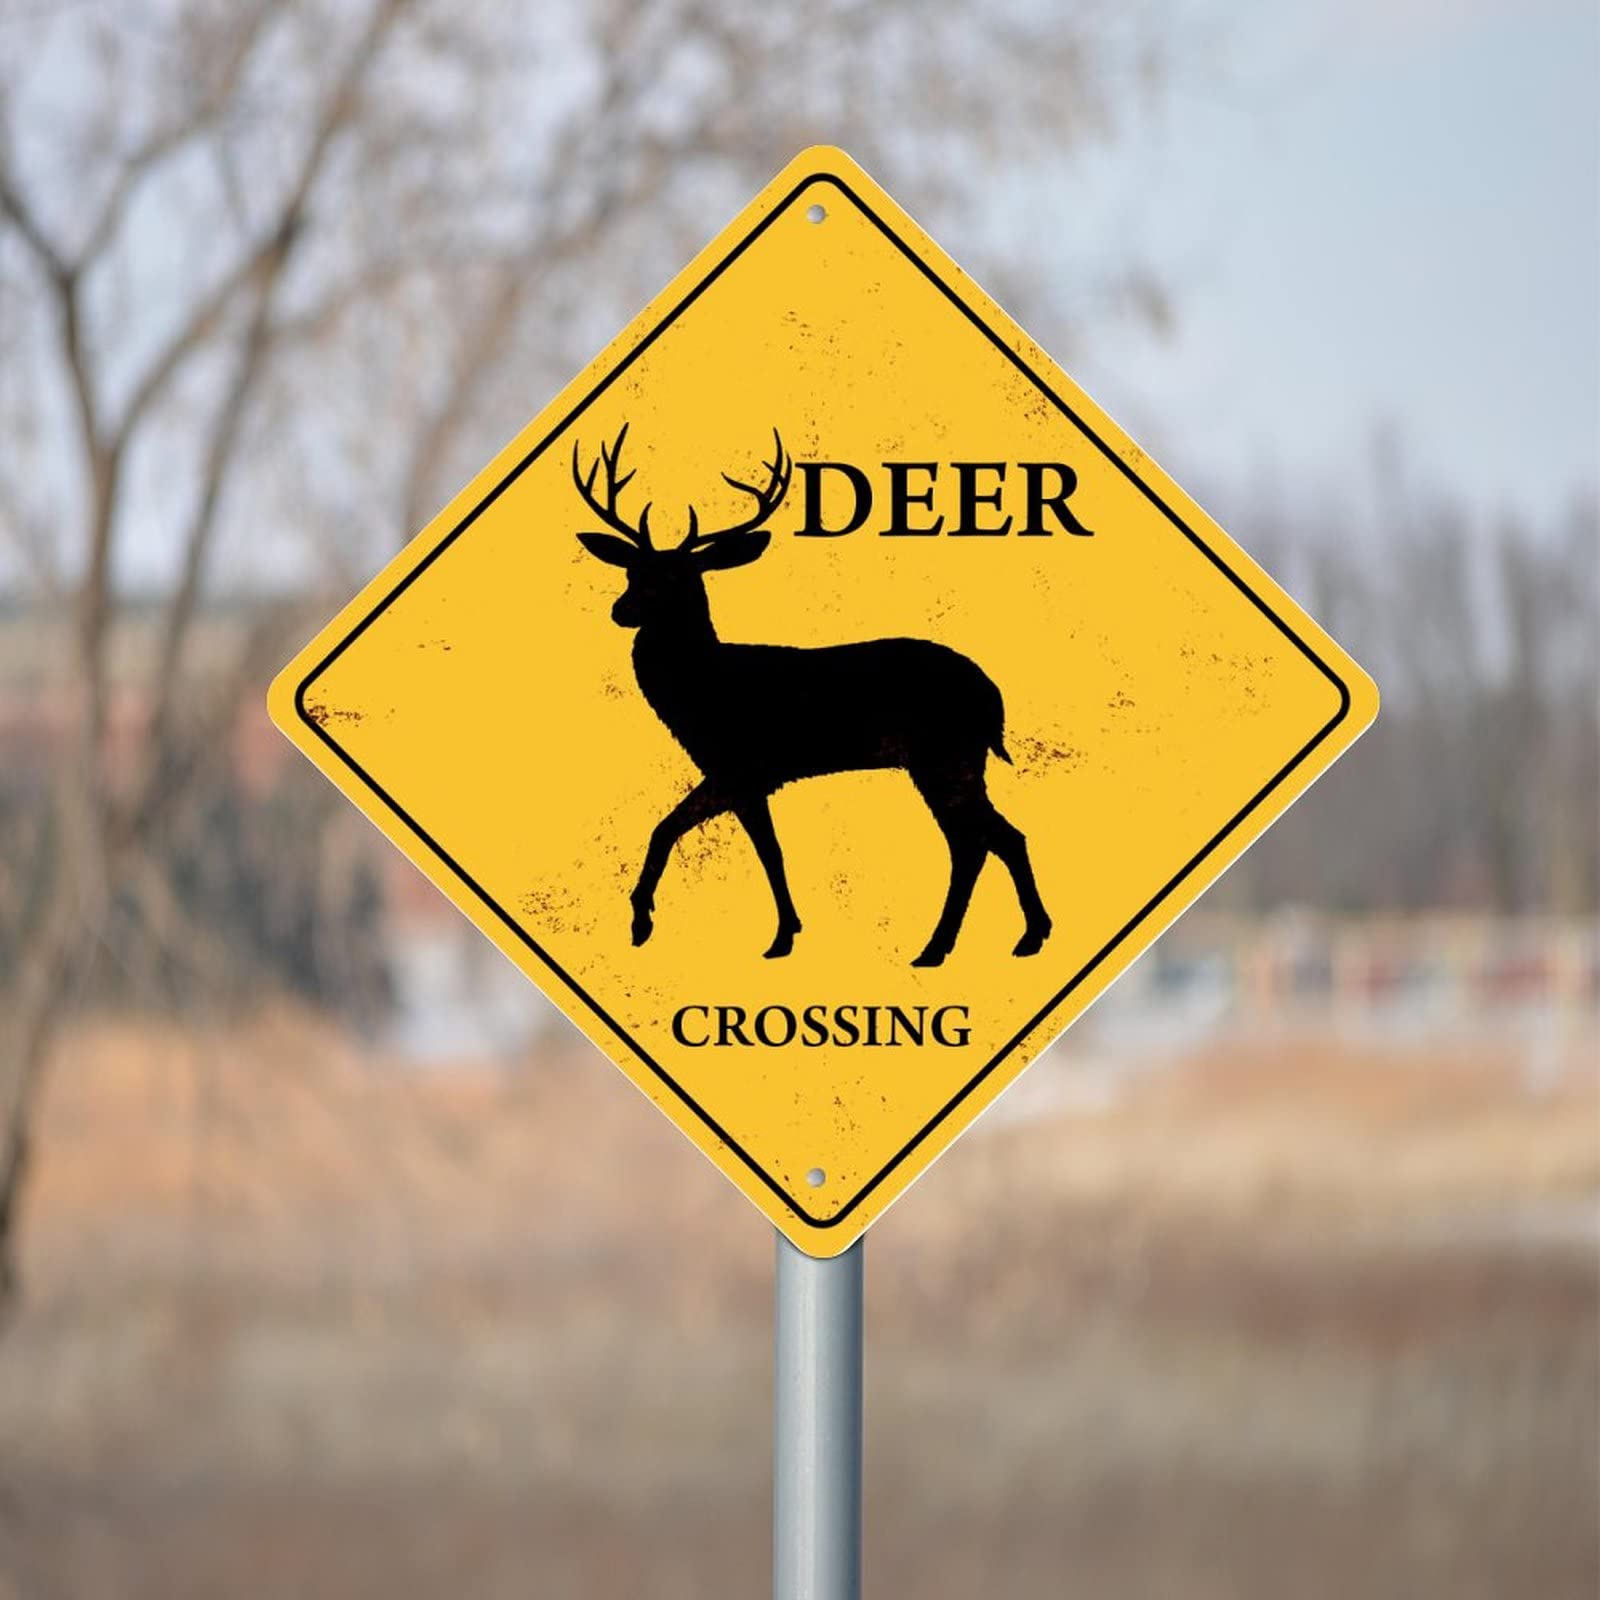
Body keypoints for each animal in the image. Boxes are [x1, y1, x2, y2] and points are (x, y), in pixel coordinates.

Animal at [572, 424, 1052, 969]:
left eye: (677, 577)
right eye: (631, 572)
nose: (621, 610)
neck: (706, 684)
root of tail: (993, 697)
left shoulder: (742, 767)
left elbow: (753, 848)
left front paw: (777, 937)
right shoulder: (736, 774)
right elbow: (693, 835)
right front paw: (648, 923)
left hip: (944, 755)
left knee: (978, 841)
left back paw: (952, 946)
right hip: (952, 759)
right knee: (994, 837)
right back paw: (1009, 939)